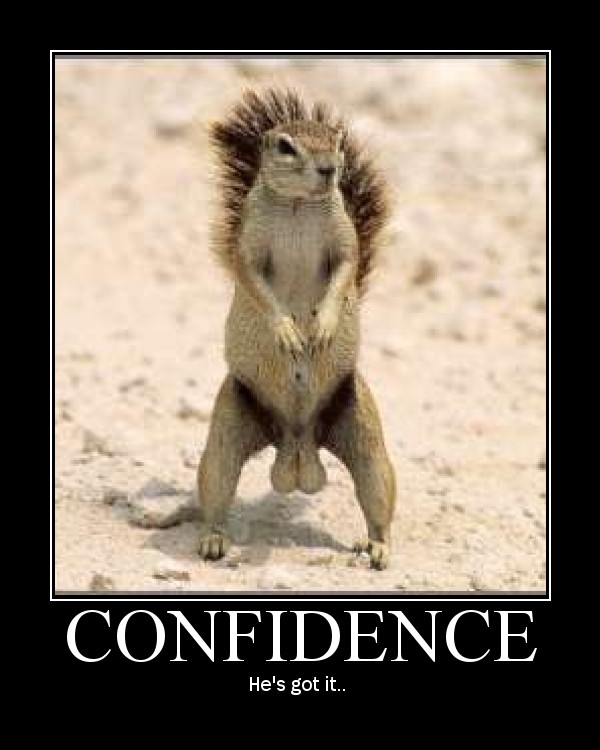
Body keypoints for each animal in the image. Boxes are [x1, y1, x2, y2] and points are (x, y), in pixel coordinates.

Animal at [196, 88, 396, 570]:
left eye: (337, 140)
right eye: (286, 146)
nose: (329, 169)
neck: (298, 205)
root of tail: (297, 443)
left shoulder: (344, 238)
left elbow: (345, 270)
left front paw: (322, 325)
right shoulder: (248, 245)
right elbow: (254, 280)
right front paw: (287, 331)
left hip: (362, 428)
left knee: (376, 493)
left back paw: (377, 547)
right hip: (228, 425)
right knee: (216, 487)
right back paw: (213, 539)